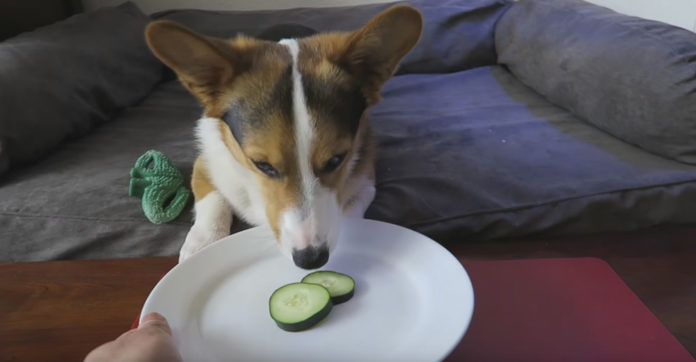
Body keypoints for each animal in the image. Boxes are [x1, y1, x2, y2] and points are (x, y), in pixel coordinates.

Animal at [144, 4, 422, 268]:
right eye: (262, 165)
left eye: (336, 160)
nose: (311, 259)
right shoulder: (206, 163)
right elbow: (213, 202)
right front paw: (202, 245)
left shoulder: (364, 183)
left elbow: (347, 214)